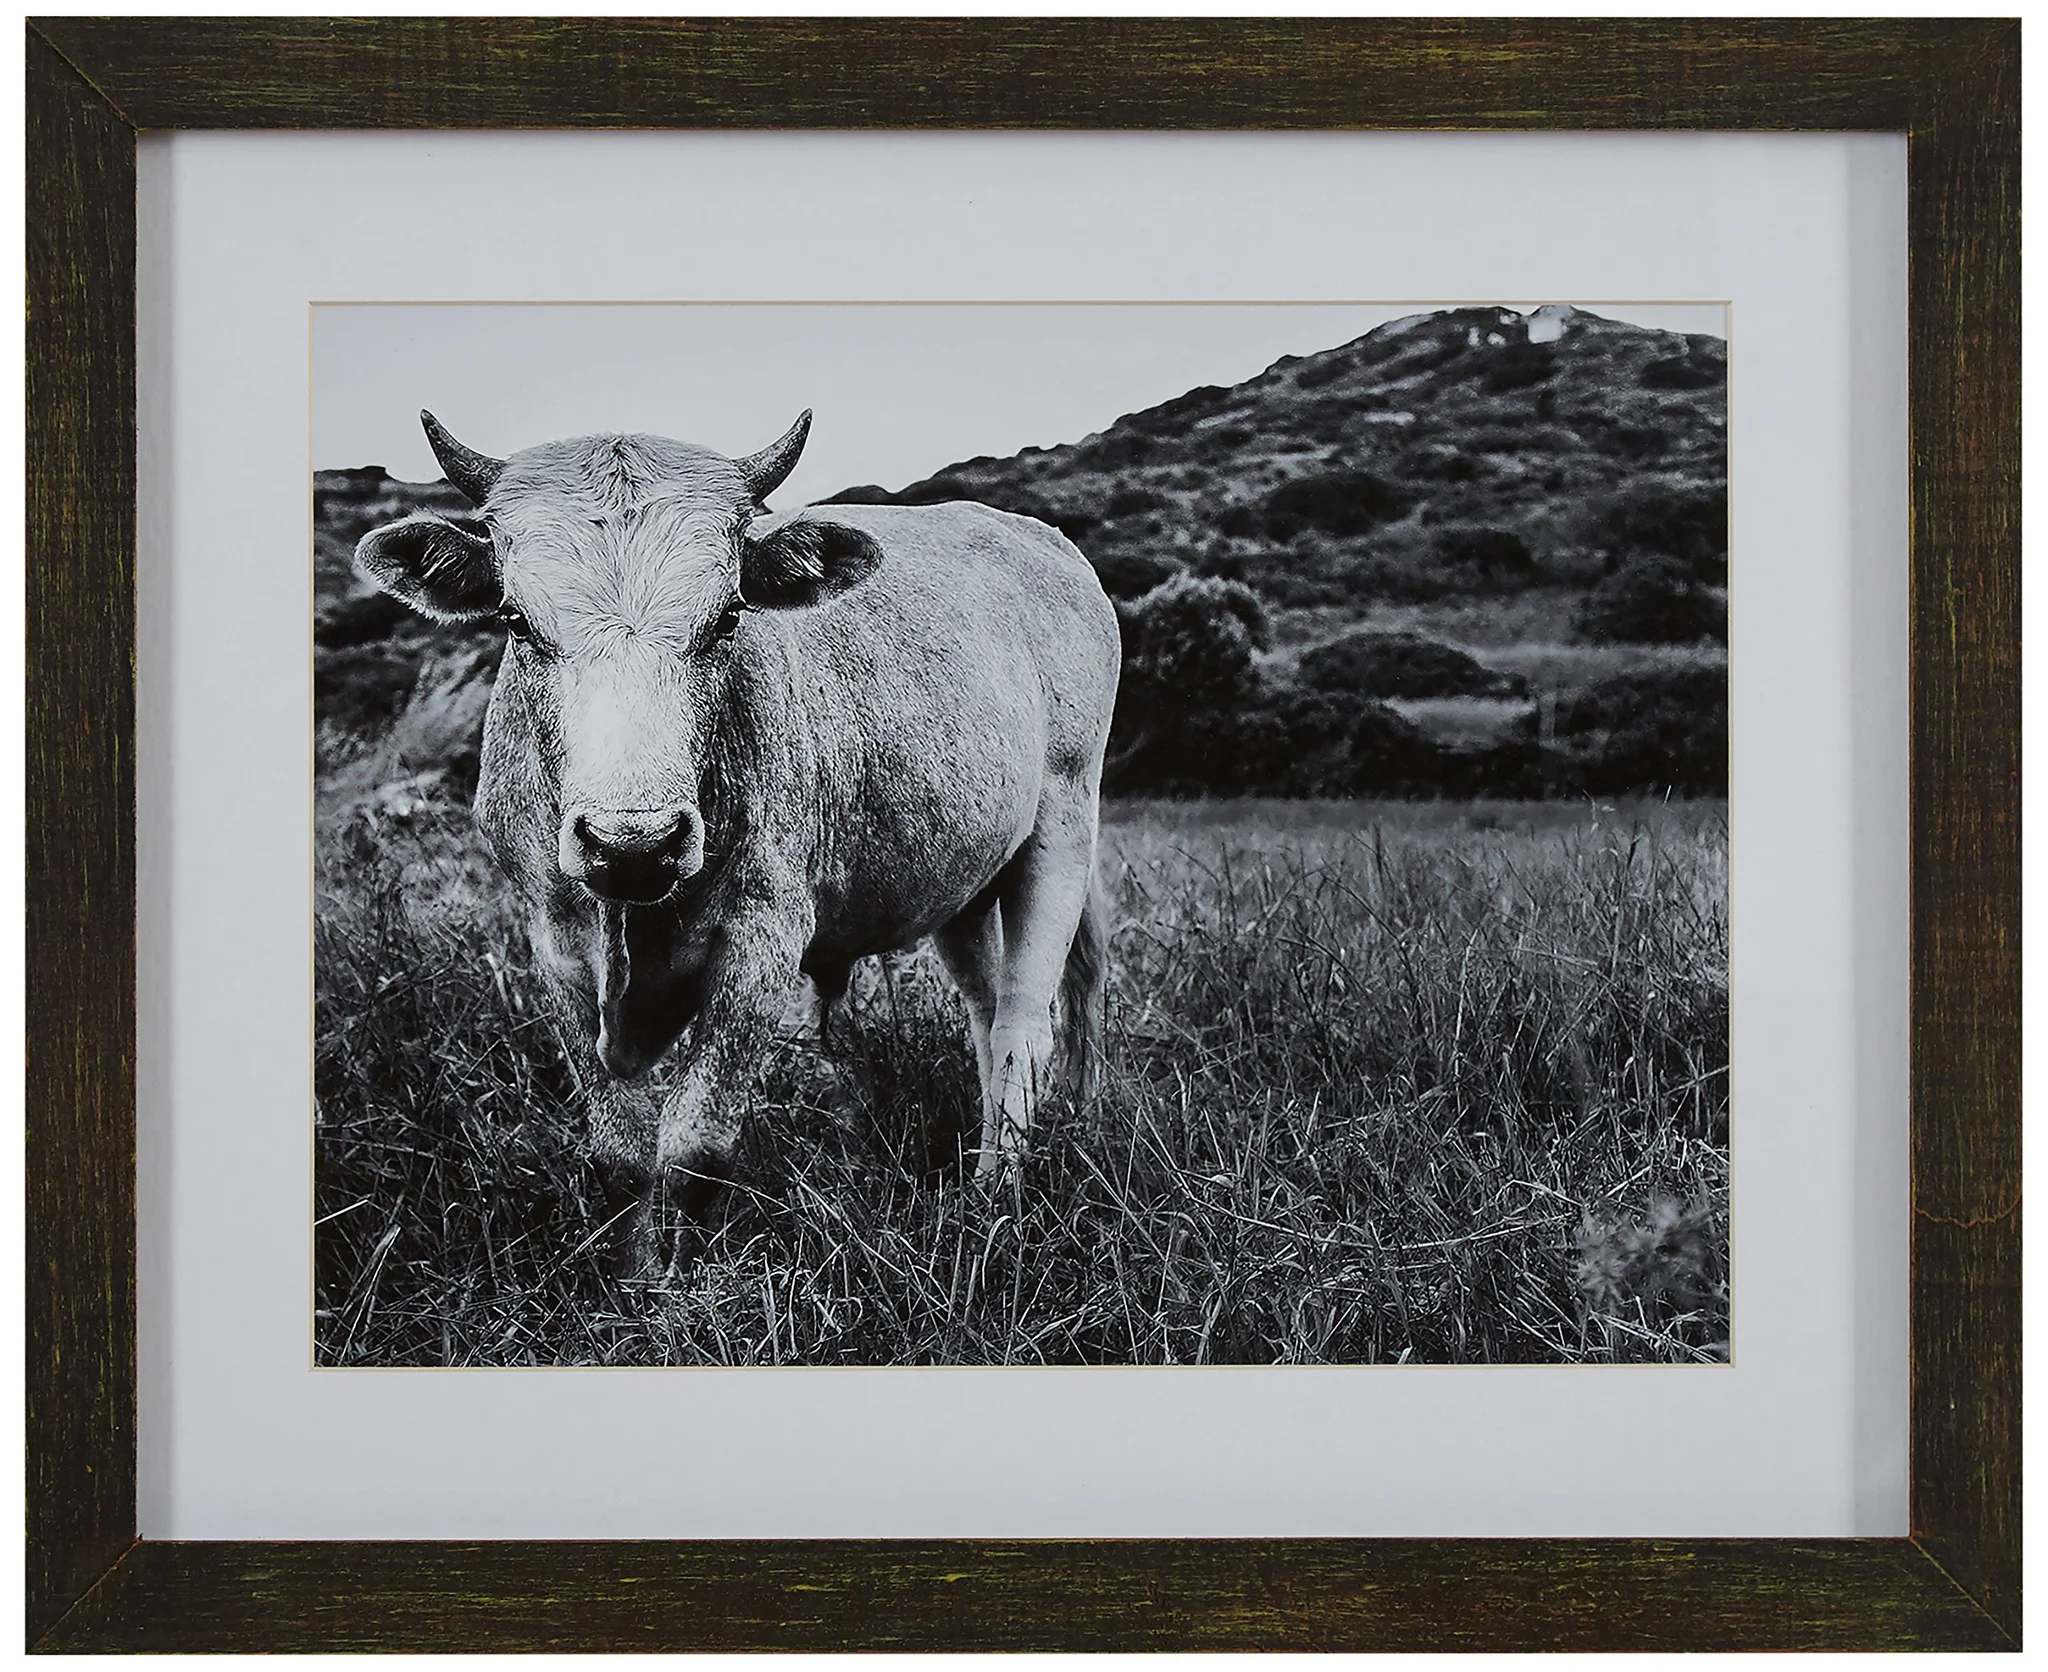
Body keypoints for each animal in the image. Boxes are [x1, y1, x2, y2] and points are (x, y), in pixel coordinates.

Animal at [354, 410, 1122, 1275]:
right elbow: (620, 1155)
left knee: (1029, 1021)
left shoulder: (760, 946)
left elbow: (693, 1150)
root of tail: (1038, 539)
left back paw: (995, 1201)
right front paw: (632, 1283)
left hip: (1062, 828)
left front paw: (681, 1290)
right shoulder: (554, 944)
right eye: (516, 620)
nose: (633, 845)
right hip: (964, 881)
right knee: (989, 1014)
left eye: (726, 617)